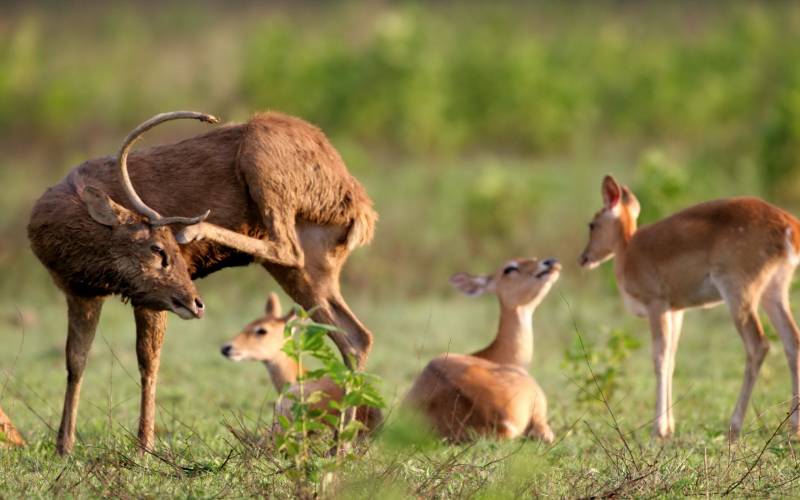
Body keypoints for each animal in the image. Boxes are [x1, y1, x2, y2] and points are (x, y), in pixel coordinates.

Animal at [580, 175, 800, 438]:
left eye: (592, 224)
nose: (583, 258)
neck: (628, 251)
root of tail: (790, 228)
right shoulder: (677, 310)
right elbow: (672, 358)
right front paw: (669, 427)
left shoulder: (656, 303)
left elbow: (659, 357)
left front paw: (659, 429)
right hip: (774, 290)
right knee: (792, 340)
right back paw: (793, 425)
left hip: (738, 290)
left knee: (758, 344)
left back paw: (734, 426)